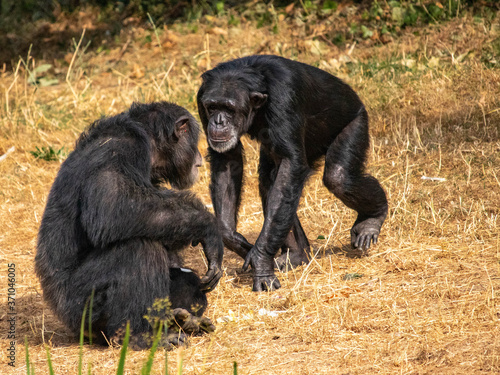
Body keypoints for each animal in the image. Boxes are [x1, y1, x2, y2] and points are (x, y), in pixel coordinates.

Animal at [34, 100, 222, 350]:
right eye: (194, 141)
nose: (200, 159)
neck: (149, 144)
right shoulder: (121, 150)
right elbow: (113, 207)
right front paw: (209, 228)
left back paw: (180, 320)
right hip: (81, 310)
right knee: (139, 249)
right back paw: (139, 335)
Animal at [197, 55, 388, 294]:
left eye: (229, 109)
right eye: (212, 107)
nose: (218, 121)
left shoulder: (285, 97)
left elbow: (290, 165)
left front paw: (260, 261)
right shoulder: (201, 98)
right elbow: (227, 158)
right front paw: (235, 241)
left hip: (357, 122)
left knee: (338, 177)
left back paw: (372, 219)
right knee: (271, 181)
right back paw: (298, 254)